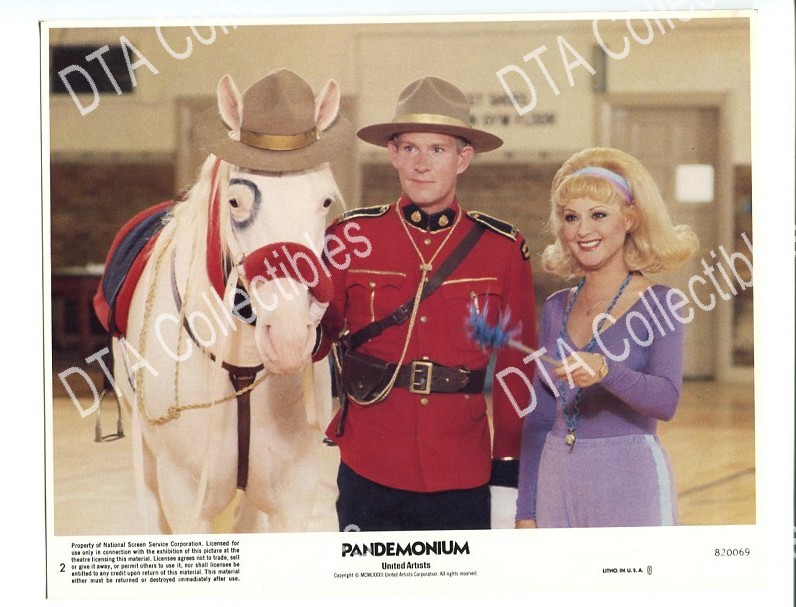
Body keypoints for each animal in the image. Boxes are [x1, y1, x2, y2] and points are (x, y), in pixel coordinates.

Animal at [101, 70, 345, 533]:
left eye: (324, 200)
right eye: (235, 201)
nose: (289, 338)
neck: (239, 366)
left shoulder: (294, 497)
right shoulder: (183, 497)